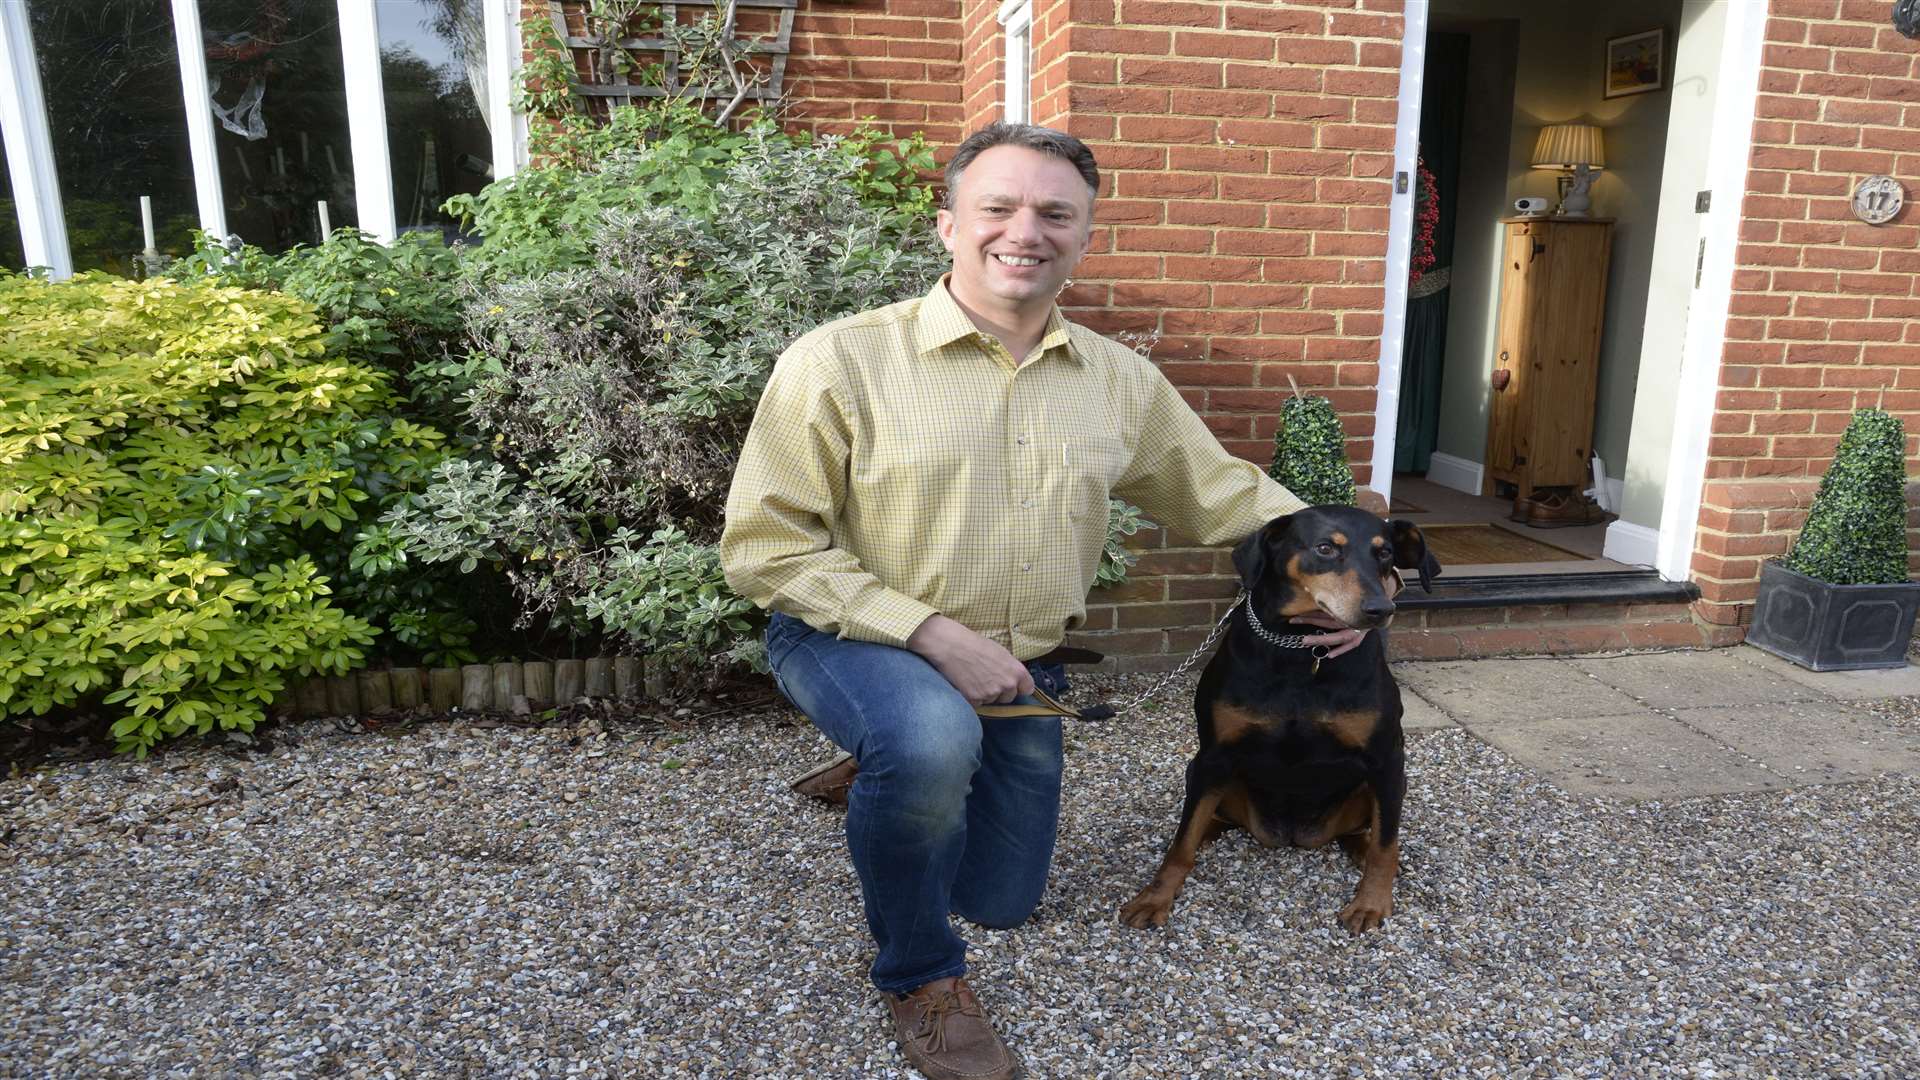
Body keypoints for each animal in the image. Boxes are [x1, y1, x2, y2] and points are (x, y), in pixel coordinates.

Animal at [1113, 503, 1443, 933]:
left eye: (1385, 552)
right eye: (1325, 548)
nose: (1380, 610)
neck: (1303, 650)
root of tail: (1292, 836)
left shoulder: (1386, 759)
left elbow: (1385, 844)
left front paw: (1371, 903)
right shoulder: (1214, 755)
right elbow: (1181, 841)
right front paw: (1155, 897)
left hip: (1387, 785)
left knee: (1369, 831)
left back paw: (1364, 848)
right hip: (1207, 774)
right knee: (1206, 818)